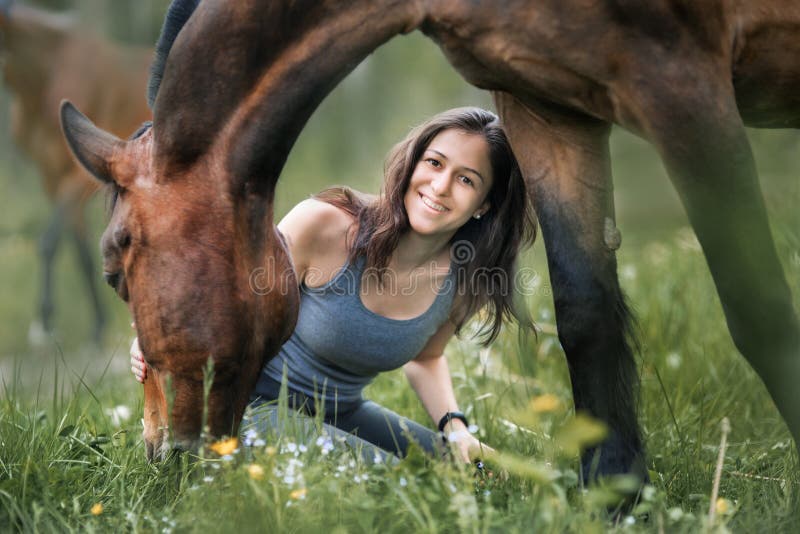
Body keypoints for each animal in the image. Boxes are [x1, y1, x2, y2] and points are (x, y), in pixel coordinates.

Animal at [0, 0, 152, 346]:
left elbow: (49, 242)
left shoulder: (78, 178)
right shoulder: (51, 178)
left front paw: (43, 325)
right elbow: (81, 253)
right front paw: (97, 326)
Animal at [57, 0, 800, 482]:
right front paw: (615, 494)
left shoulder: (679, 82)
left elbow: (761, 313)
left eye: (115, 269)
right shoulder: (549, 103)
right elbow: (588, 314)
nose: (163, 453)